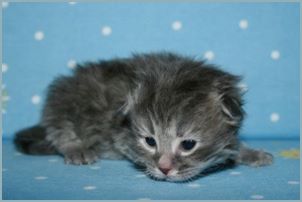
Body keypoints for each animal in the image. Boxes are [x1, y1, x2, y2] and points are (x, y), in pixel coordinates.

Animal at [14, 51, 274, 181]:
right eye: (150, 141)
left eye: (188, 145)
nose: (164, 169)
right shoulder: (120, 134)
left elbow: (234, 145)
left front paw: (249, 152)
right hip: (64, 105)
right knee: (60, 130)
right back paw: (76, 148)